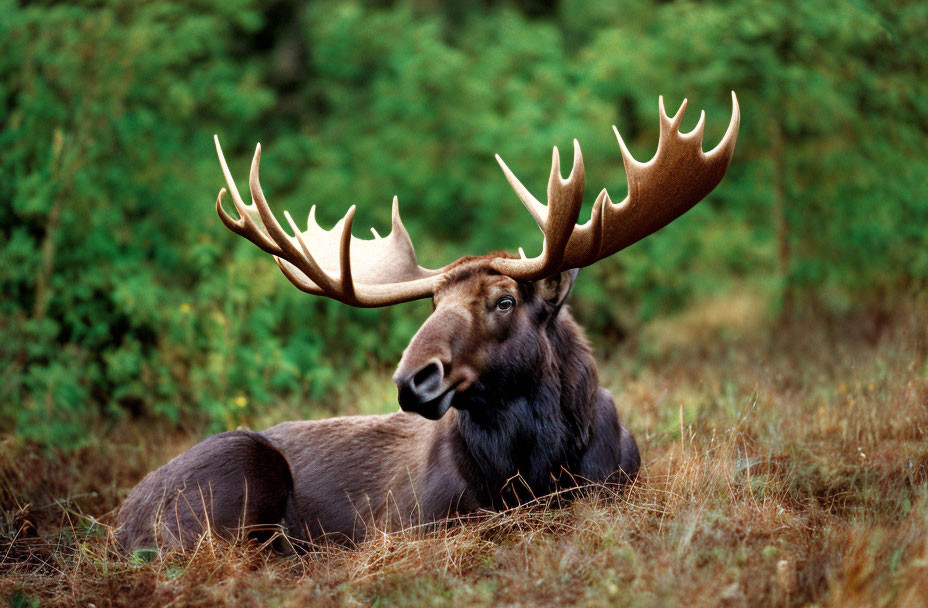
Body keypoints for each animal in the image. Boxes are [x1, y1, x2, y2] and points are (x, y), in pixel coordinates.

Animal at [116, 91, 740, 552]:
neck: (537, 473)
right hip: (234, 474)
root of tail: (118, 524)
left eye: (504, 300)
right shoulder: (421, 521)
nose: (413, 379)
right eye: (432, 306)